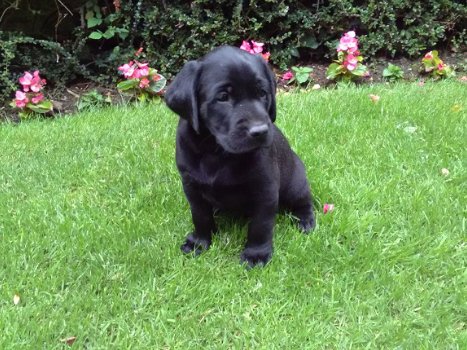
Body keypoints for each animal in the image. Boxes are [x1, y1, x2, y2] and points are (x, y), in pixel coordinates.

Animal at [165, 45, 314, 266]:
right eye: (223, 97)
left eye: (262, 93)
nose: (260, 131)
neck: (216, 151)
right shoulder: (190, 184)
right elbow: (200, 216)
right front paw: (199, 243)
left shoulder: (265, 188)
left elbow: (260, 225)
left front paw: (256, 254)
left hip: (295, 183)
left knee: (305, 201)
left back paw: (305, 220)